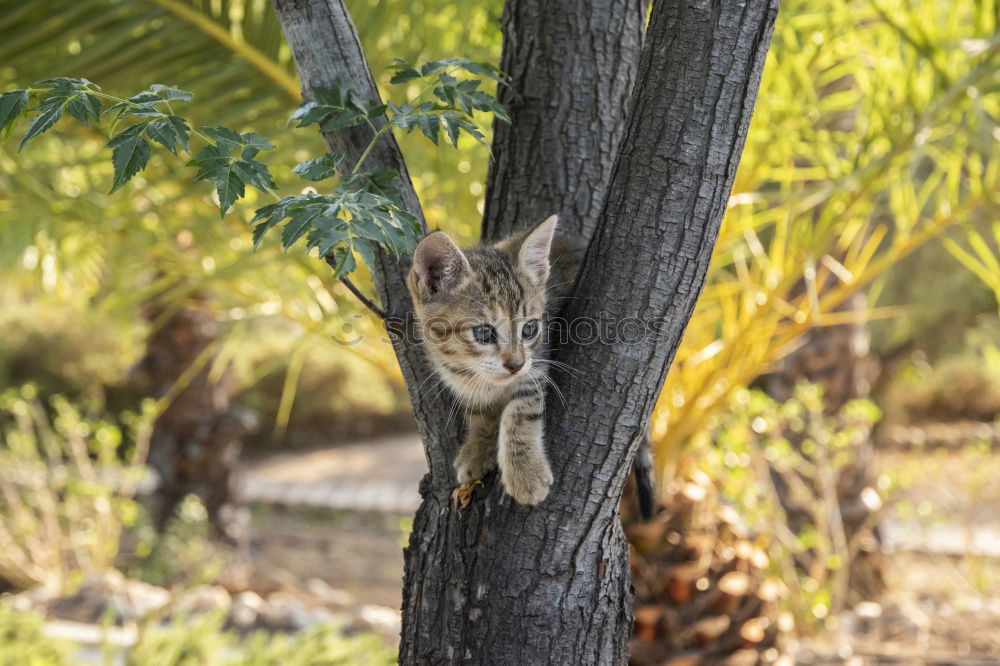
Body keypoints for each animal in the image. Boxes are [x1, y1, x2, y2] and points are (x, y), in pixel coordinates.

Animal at [406, 215, 584, 500]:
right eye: (483, 333)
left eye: (529, 329)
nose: (515, 364)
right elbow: (481, 412)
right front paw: (477, 449)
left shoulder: (538, 360)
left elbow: (521, 407)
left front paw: (525, 472)